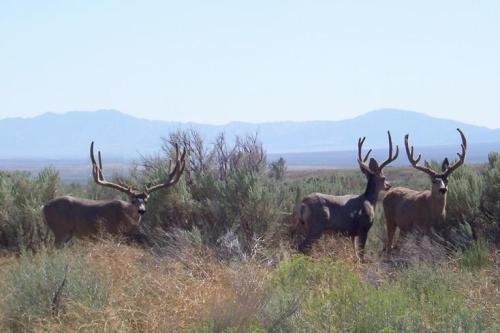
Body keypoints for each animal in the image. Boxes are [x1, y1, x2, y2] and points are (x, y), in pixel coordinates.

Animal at [43, 141, 187, 245]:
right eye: (133, 200)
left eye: (146, 200)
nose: (141, 210)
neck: (123, 217)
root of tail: (44, 207)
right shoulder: (111, 234)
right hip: (60, 230)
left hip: (68, 233)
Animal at [292, 130, 398, 260]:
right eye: (384, 177)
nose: (389, 185)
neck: (369, 200)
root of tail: (303, 204)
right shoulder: (363, 227)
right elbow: (361, 255)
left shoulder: (351, 234)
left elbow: (354, 254)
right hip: (316, 227)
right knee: (301, 247)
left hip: (304, 227)